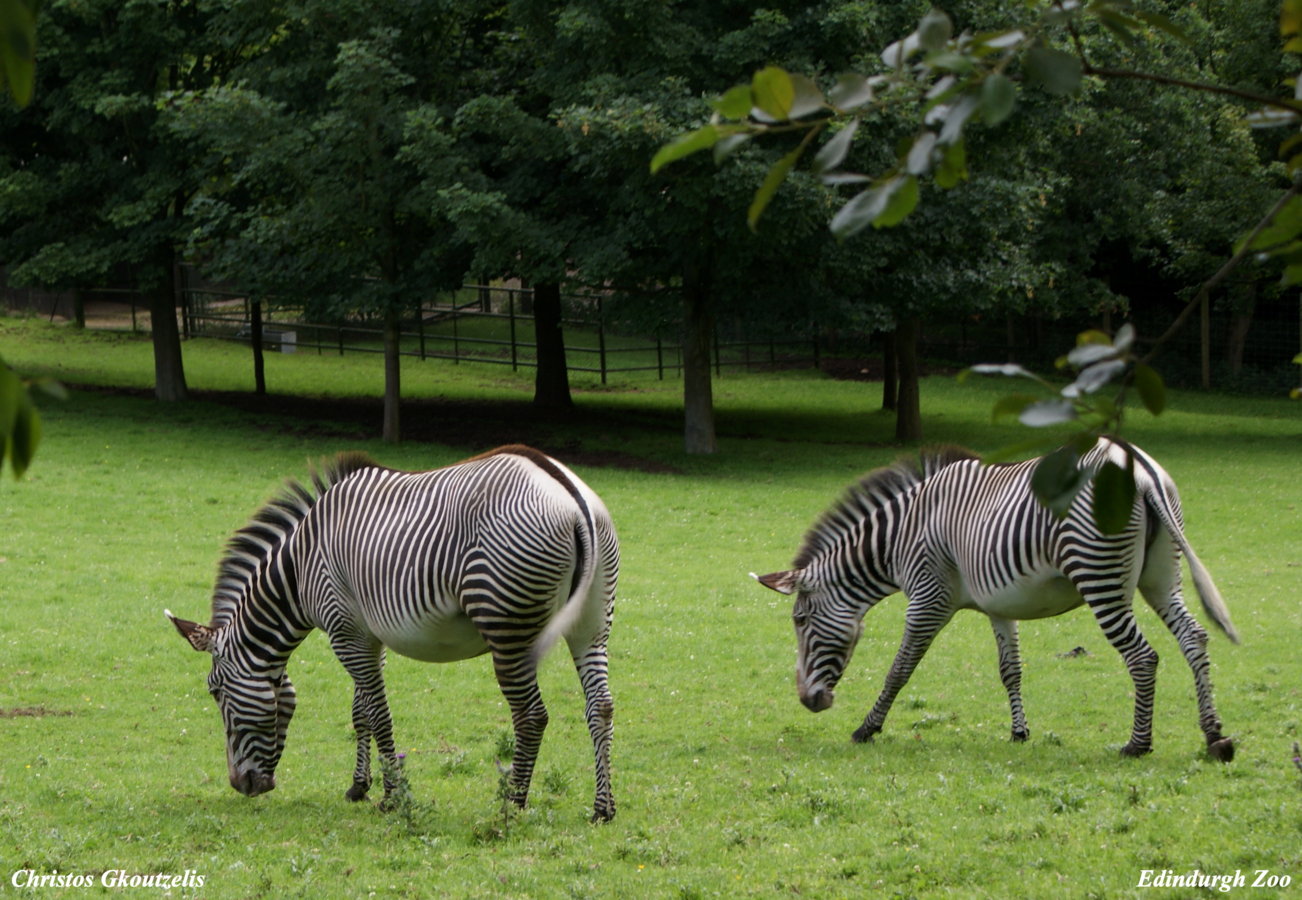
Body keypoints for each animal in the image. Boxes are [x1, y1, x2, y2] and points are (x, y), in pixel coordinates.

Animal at [166, 445, 619, 823]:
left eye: (215, 691)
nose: (242, 786)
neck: (298, 569)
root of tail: (569, 493)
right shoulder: (366, 635)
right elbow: (361, 711)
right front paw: (358, 786)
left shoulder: (344, 632)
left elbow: (379, 714)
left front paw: (391, 797)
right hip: (592, 623)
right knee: (600, 706)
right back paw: (603, 808)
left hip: (507, 628)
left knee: (531, 715)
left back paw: (513, 802)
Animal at [749, 440, 1234, 765]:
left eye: (800, 620)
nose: (809, 701)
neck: (898, 537)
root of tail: (1142, 470)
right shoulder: (1001, 605)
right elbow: (1010, 670)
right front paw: (1019, 732)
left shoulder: (927, 597)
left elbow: (900, 668)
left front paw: (867, 728)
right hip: (1161, 577)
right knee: (1194, 637)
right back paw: (1214, 736)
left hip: (1100, 577)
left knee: (1142, 656)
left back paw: (1138, 744)